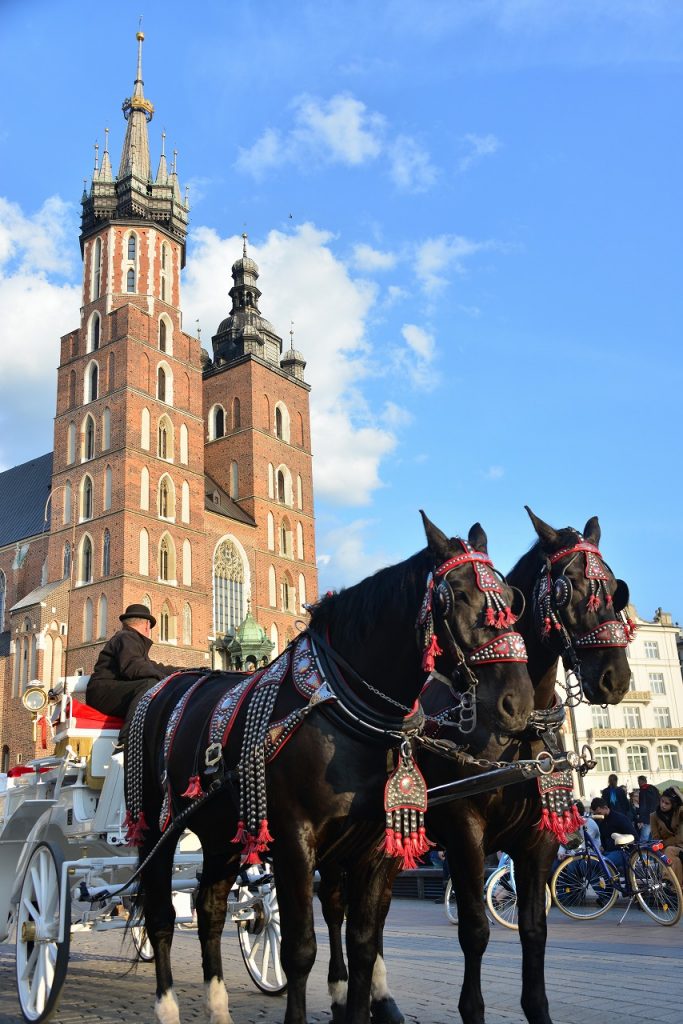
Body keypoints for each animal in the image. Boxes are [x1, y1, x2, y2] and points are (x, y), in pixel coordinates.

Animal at [129, 512, 532, 1024]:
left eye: (512, 598)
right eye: (456, 595)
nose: (517, 703)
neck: (343, 708)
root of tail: (163, 685)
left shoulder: (374, 845)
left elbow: (363, 944)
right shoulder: (293, 840)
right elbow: (299, 949)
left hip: (221, 834)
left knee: (210, 909)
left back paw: (219, 1009)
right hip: (154, 828)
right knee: (160, 916)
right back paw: (167, 1007)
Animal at [323, 509, 634, 1024]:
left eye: (613, 587)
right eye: (568, 586)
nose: (615, 677)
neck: (520, 736)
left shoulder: (539, 839)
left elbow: (533, 929)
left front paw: (537, 1008)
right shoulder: (465, 831)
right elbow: (474, 929)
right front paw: (471, 1008)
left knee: (374, 913)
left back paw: (381, 999)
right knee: (334, 908)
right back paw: (340, 991)